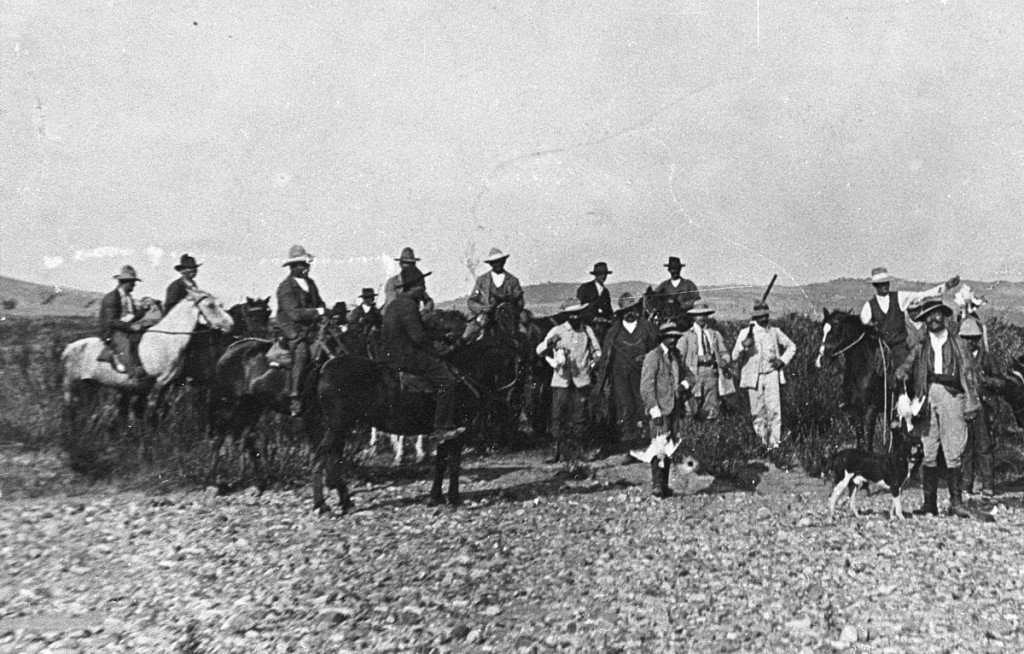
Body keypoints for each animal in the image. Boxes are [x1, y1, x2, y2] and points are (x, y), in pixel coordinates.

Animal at [61, 290, 234, 425]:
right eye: (210, 305)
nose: (230, 325)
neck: (167, 341)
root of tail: (68, 347)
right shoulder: (158, 383)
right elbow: (152, 411)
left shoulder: (167, 385)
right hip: (71, 385)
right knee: (69, 410)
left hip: (90, 385)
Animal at [815, 309, 897, 452]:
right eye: (823, 331)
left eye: (836, 331)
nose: (821, 361)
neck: (862, 370)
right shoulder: (855, 410)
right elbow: (860, 439)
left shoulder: (870, 409)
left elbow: (868, 442)